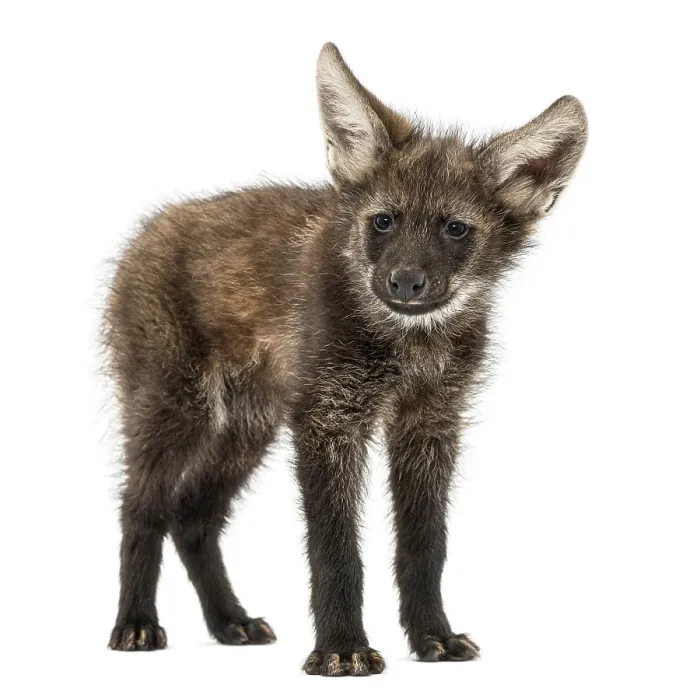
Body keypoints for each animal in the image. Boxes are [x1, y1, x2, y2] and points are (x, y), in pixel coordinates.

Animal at [104, 42, 587, 676]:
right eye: (383, 220)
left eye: (456, 229)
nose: (404, 282)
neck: (409, 343)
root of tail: (145, 233)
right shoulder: (330, 421)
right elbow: (335, 548)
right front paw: (341, 648)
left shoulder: (429, 424)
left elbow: (425, 545)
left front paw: (434, 637)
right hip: (175, 406)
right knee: (143, 506)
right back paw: (136, 624)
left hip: (248, 425)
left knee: (193, 515)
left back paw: (231, 622)